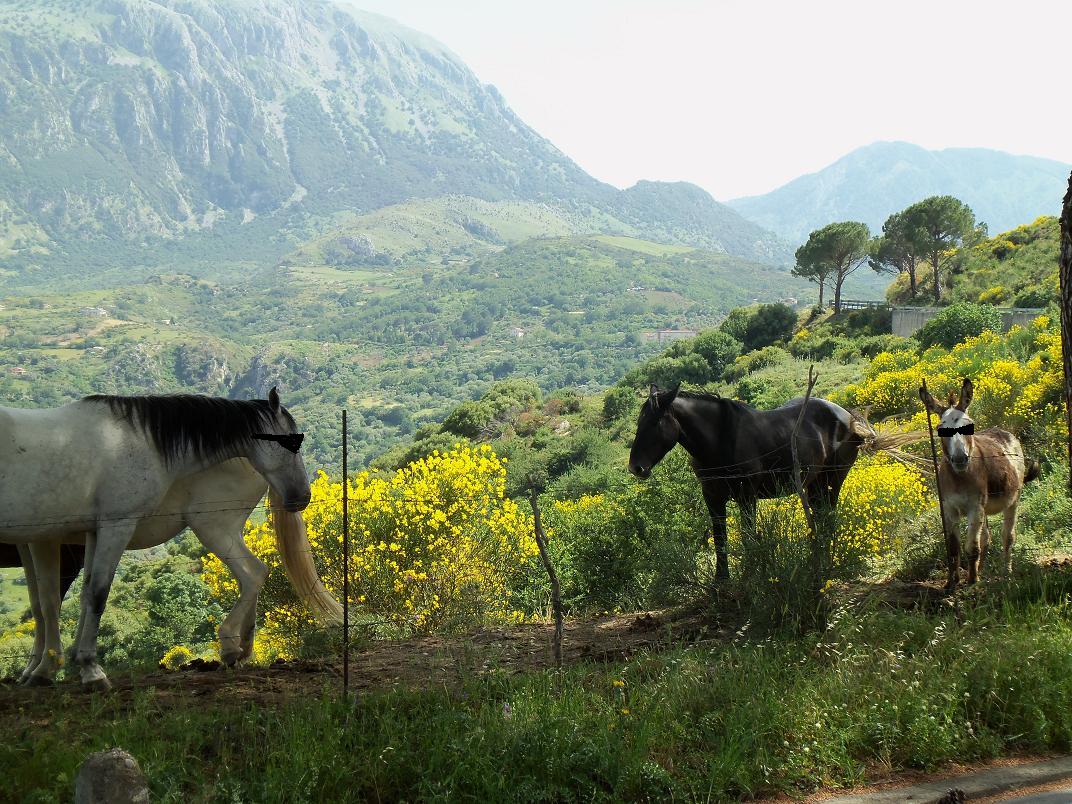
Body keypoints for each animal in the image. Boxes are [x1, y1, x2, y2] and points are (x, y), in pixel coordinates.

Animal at [0, 388, 320, 691]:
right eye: (293, 443)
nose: (302, 496)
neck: (135, 438)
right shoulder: (104, 527)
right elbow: (84, 595)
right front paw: (80, 668)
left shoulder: (91, 531)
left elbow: (76, 597)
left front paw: (72, 667)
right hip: (214, 528)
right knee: (252, 575)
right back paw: (238, 648)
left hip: (214, 527)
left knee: (252, 574)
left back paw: (233, 647)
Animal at [628, 384, 914, 579]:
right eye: (639, 422)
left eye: (655, 422)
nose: (636, 467)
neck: (721, 439)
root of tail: (847, 417)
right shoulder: (712, 496)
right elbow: (720, 539)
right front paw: (721, 582)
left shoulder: (746, 496)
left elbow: (747, 538)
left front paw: (750, 575)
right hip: (814, 484)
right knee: (819, 517)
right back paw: (815, 560)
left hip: (834, 478)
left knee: (829, 518)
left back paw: (826, 562)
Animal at [920, 378, 1040, 589]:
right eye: (940, 429)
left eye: (969, 426)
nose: (960, 459)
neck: (959, 477)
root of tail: (1002, 431)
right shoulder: (949, 509)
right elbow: (953, 548)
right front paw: (952, 583)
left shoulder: (974, 507)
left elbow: (971, 547)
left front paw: (971, 582)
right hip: (984, 509)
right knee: (986, 538)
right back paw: (982, 570)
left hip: (1012, 501)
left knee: (1007, 537)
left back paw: (1005, 573)